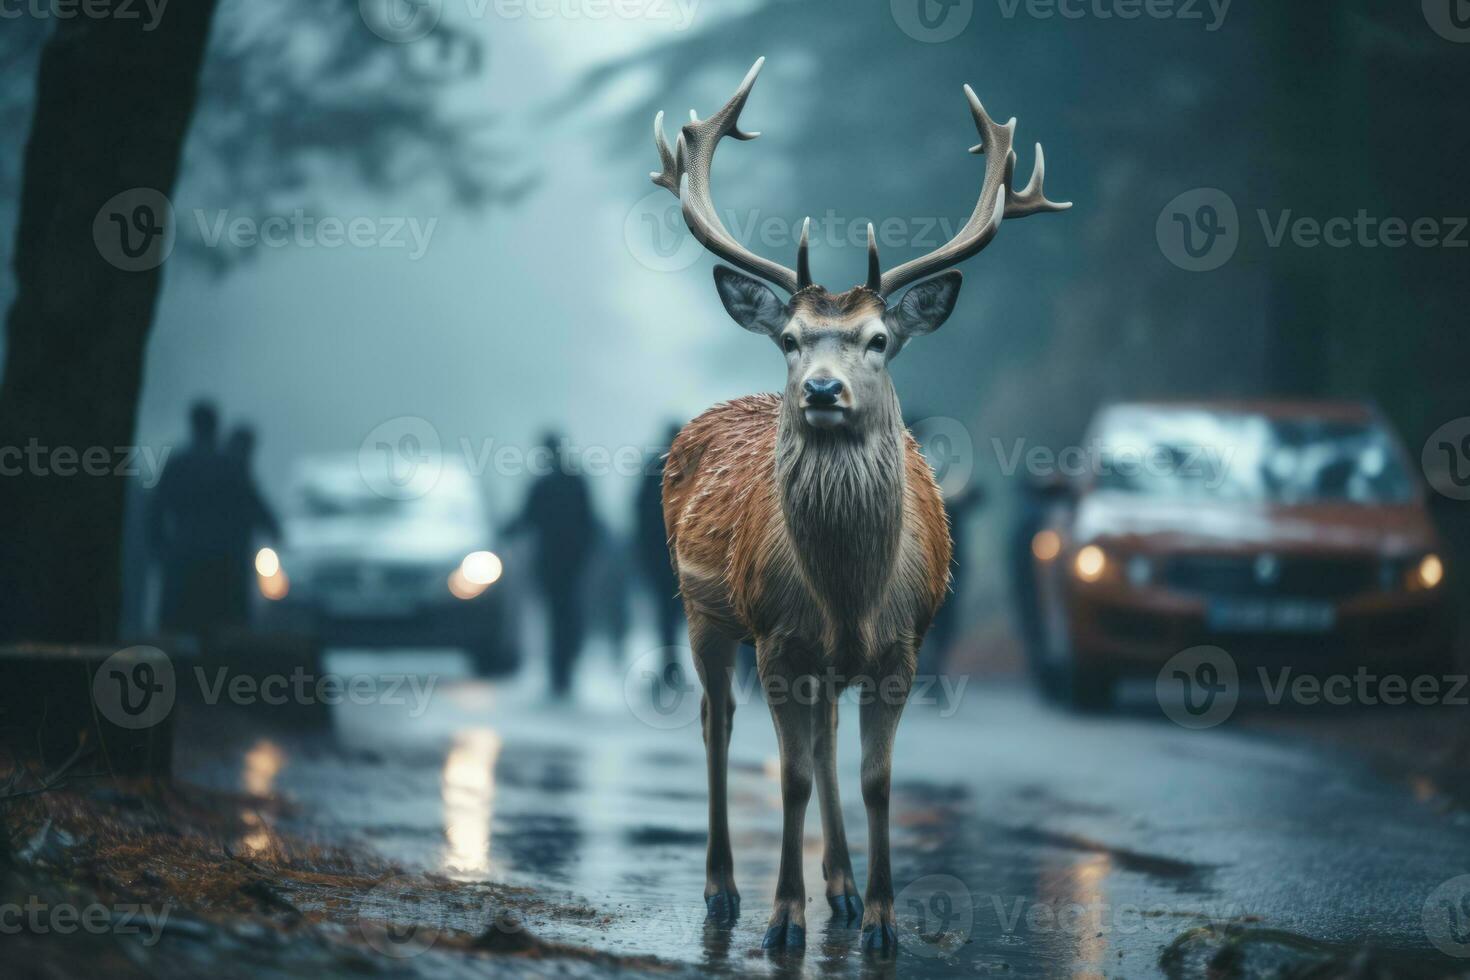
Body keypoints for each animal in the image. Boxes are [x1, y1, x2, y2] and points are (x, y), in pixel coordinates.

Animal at [655, 57, 1070, 952]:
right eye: (789, 339)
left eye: (879, 340)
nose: (820, 391)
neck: (848, 592)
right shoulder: (779, 640)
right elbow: (787, 777)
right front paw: (783, 921)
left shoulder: (901, 646)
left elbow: (876, 777)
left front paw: (881, 919)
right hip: (703, 611)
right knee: (717, 724)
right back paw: (723, 891)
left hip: (823, 661)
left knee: (826, 740)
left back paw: (841, 890)